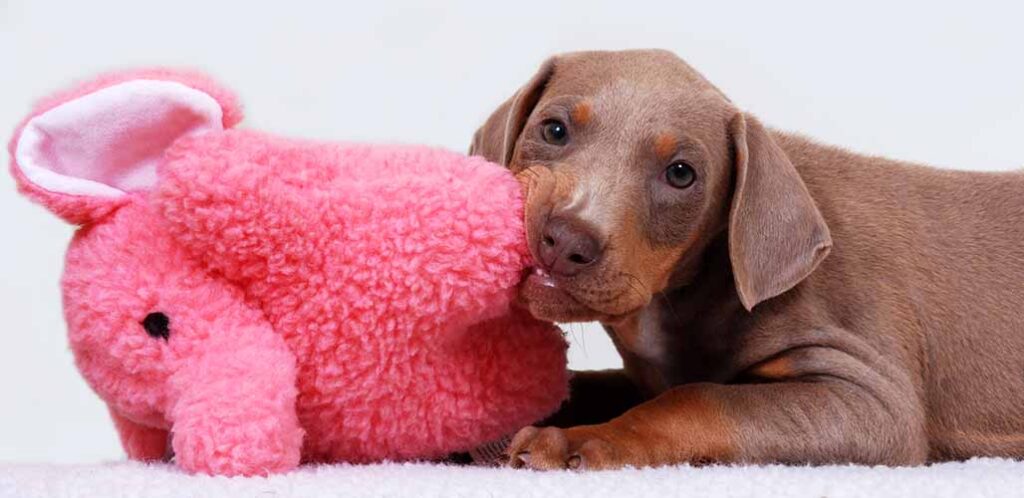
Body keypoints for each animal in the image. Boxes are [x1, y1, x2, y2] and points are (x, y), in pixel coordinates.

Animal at [468, 48, 1024, 469]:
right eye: (554, 130)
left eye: (681, 173)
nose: (564, 241)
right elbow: (586, 384)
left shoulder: (874, 401)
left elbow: (700, 396)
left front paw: (580, 439)